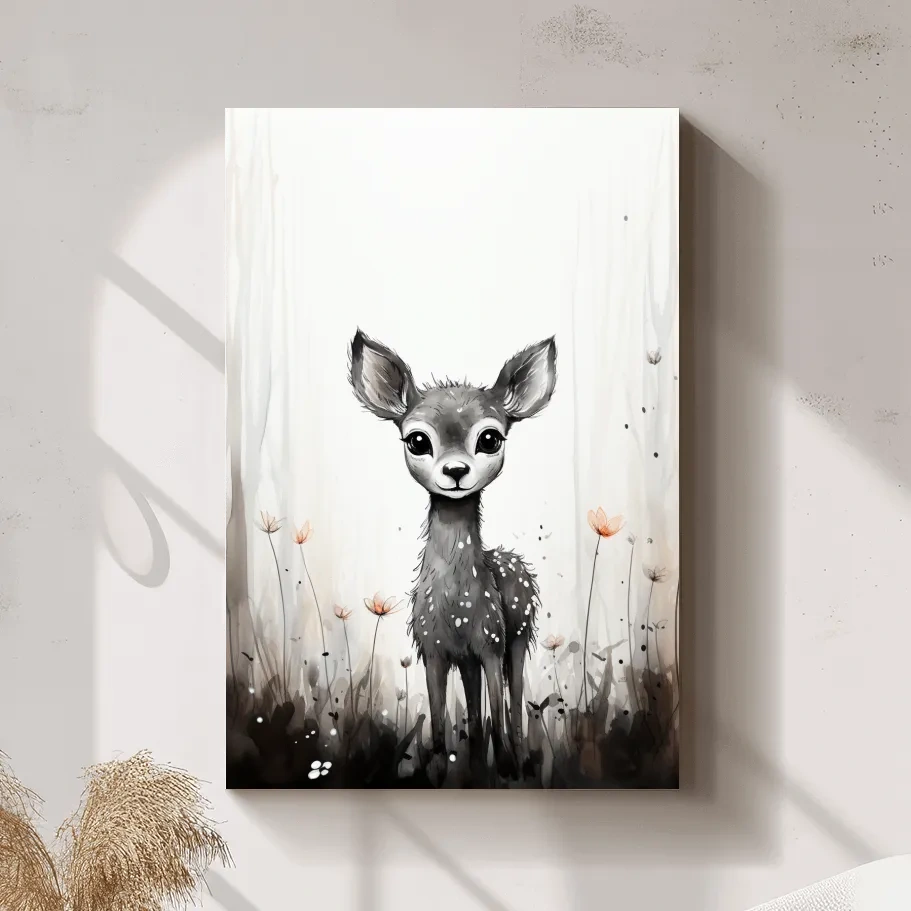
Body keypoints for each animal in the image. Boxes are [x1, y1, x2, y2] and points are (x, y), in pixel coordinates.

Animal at [348, 329, 557, 779]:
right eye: (417, 439)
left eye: (490, 438)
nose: (456, 471)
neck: (457, 605)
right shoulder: (434, 649)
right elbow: (441, 723)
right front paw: (441, 769)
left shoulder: (492, 642)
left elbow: (499, 707)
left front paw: (506, 767)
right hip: (469, 658)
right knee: (476, 712)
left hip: (518, 635)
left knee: (513, 703)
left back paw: (515, 759)